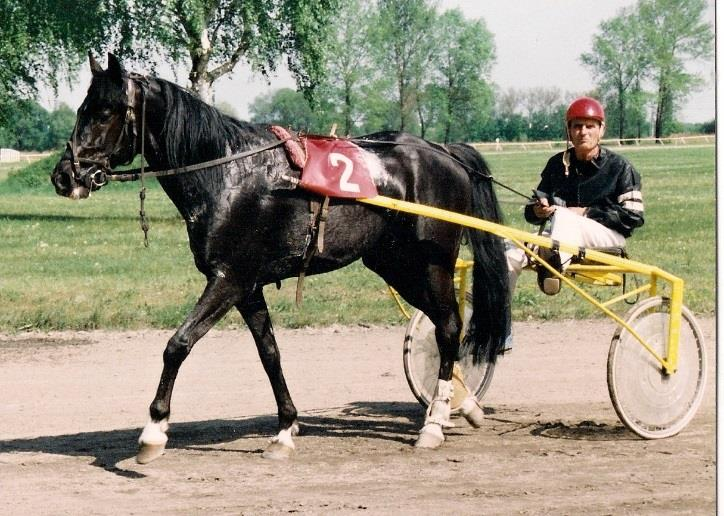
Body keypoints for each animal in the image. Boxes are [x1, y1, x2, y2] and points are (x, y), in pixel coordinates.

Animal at [51, 54, 510, 462]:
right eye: (83, 108)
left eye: (103, 111)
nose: (64, 176)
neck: (228, 175)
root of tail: (442, 150)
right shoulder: (247, 286)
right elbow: (270, 354)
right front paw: (286, 429)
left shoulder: (228, 279)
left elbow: (177, 344)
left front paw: (154, 430)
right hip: (394, 264)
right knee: (441, 324)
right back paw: (464, 407)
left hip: (430, 263)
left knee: (449, 326)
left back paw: (434, 422)